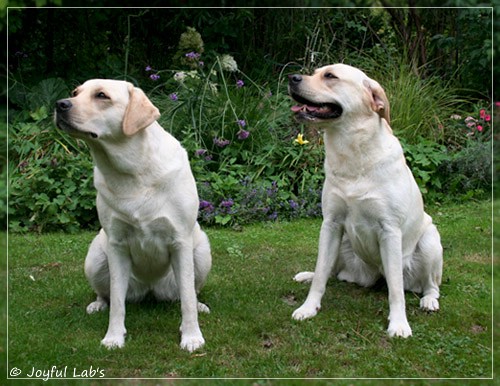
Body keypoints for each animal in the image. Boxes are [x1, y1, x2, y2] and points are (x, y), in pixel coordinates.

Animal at [54, 80, 211, 352]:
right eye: (75, 93)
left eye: (102, 95)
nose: (60, 104)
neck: (132, 168)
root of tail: (150, 289)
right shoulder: (117, 245)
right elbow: (117, 301)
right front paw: (114, 337)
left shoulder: (181, 240)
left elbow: (188, 300)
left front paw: (191, 337)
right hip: (95, 256)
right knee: (105, 294)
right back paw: (97, 304)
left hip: (201, 250)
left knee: (190, 291)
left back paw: (200, 305)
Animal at [290, 64, 442, 338]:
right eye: (315, 72)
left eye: (330, 76)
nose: (291, 77)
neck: (352, 154)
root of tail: (375, 274)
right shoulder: (331, 223)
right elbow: (321, 273)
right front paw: (308, 307)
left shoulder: (390, 230)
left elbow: (396, 289)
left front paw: (399, 323)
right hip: (343, 241)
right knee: (330, 271)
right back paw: (308, 274)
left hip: (430, 241)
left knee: (430, 284)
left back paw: (429, 301)